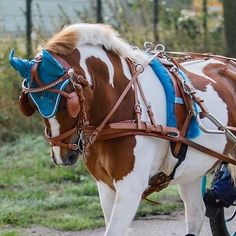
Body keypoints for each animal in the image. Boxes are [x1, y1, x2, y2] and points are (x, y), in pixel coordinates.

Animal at [8, 23, 236, 234]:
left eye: (67, 103)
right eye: (32, 103)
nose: (61, 155)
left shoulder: (130, 188)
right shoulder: (105, 186)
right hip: (192, 172)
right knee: (196, 214)